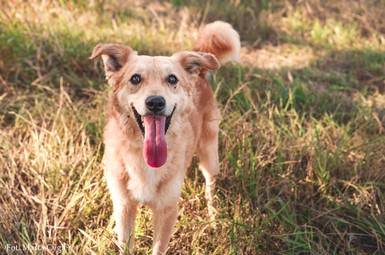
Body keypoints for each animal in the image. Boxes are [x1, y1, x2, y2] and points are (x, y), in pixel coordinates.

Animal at [90, 20, 240, 254]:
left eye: (172, 79)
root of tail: (200, 71)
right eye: (135, 78)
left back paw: (213, 217)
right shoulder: (124, 205)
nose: (155, 102)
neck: (144, 158)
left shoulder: (167, 210)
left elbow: (159, 248)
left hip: (210, 154)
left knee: (210, 185)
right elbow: (125, 242)